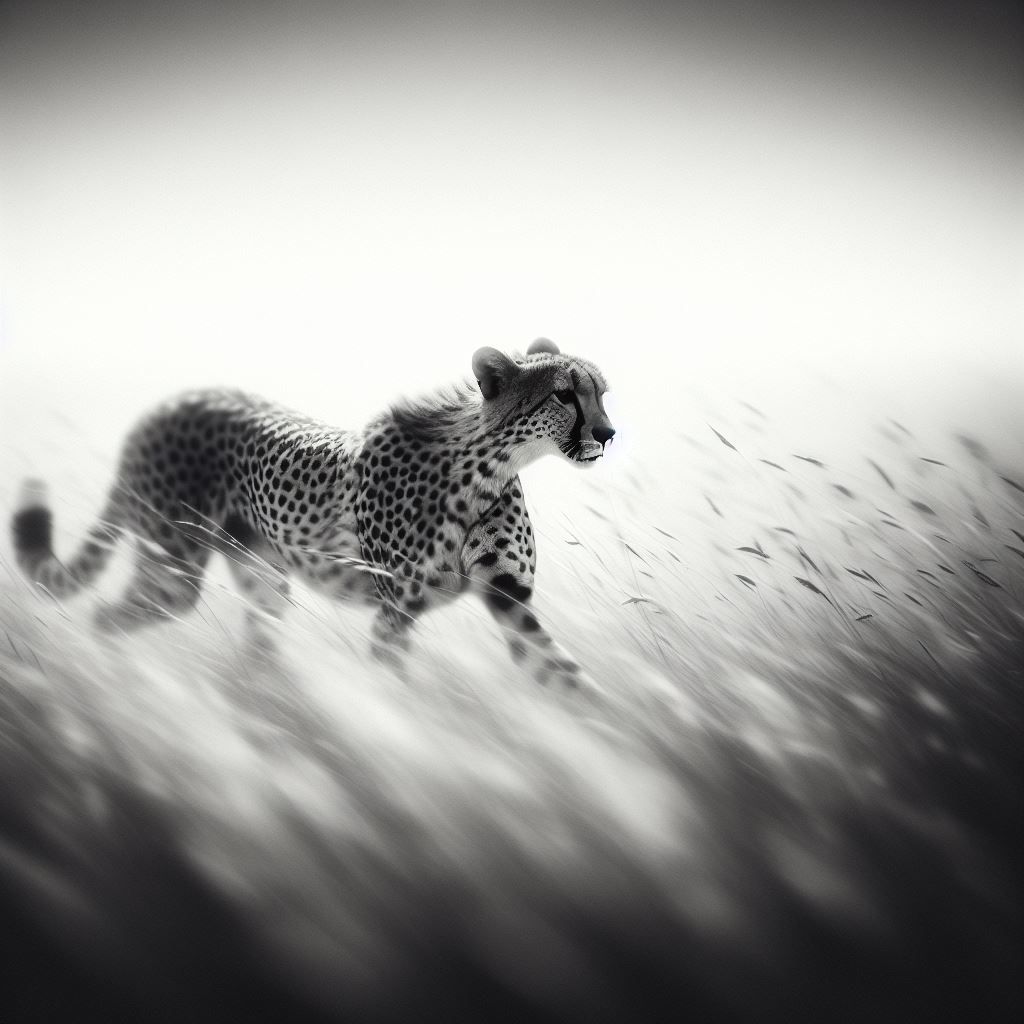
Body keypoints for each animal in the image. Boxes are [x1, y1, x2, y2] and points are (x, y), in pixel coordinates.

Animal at [11, 339, 615, 692]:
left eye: (602, 392)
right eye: (563, 395)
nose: (608, 434)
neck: (487, 468)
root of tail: (165, 406)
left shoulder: (511, 600)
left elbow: (571, 683)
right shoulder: (396, 611)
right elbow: (397, 692)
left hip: (262, 580)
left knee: (255, 650)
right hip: (172, 574)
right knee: (105, 618)